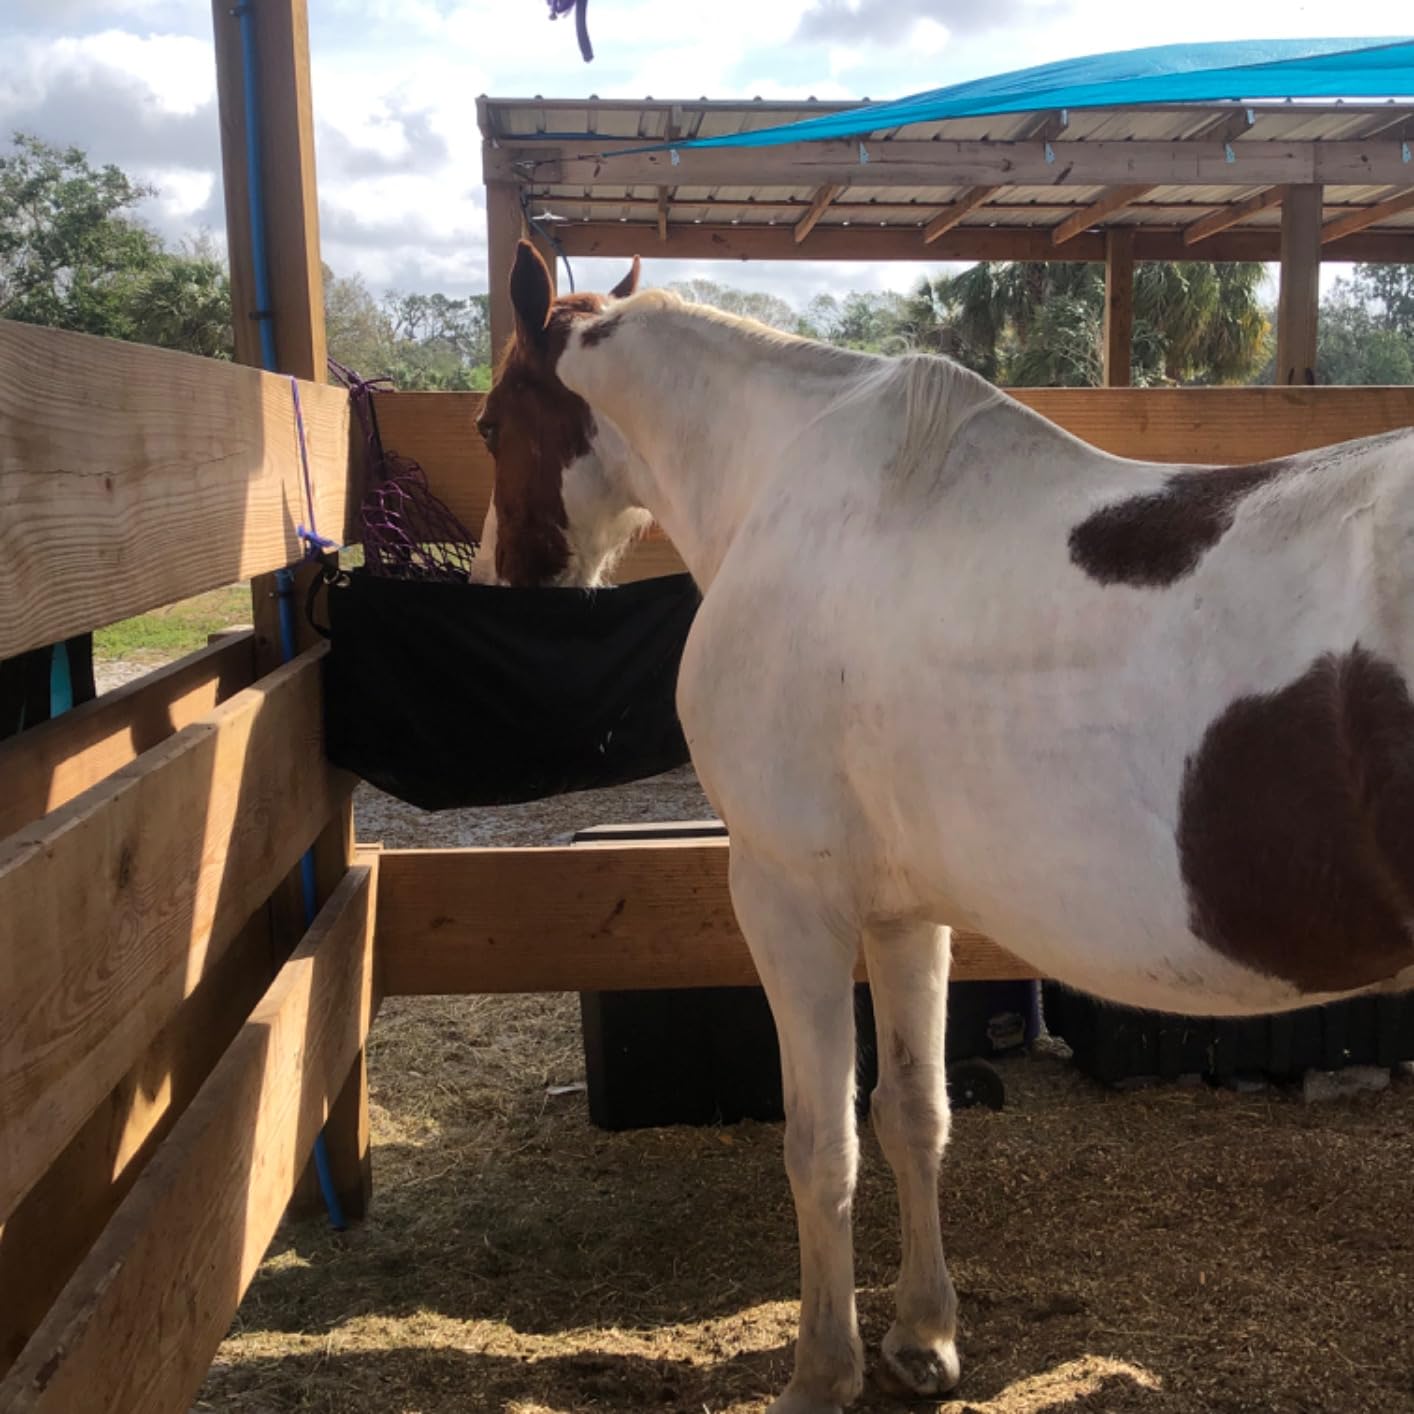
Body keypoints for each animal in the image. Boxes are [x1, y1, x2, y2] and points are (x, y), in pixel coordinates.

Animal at [472, 238, 1414, 1413]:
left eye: (489, 426)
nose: (497, 582)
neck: (798, 492)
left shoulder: (789, 900)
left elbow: (819, 1142)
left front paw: (822, 1371)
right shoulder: (903, 913)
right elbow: (914, 1113)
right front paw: (922, 1336)